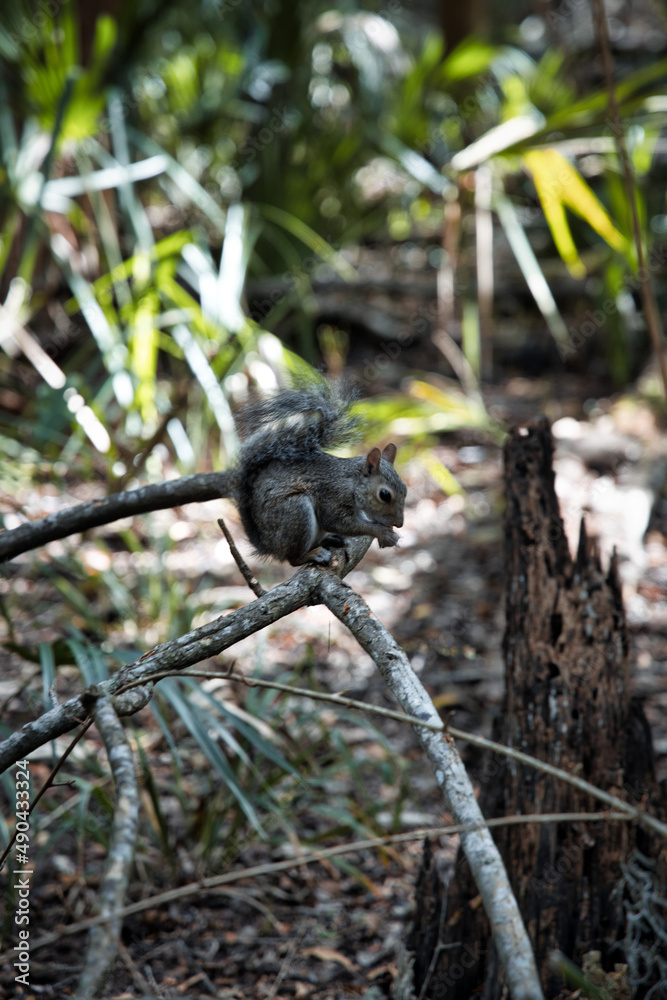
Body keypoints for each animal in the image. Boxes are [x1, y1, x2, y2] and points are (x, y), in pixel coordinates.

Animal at [223, 380, 407, 566]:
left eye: (405, 489)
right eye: (384, 494)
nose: (399, 523)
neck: (353, 483)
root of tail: (268, 546)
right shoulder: (333, 495)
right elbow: (337, 522)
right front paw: (382, 533)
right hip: (296, 512)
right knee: (293, 559)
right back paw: (312, 554)